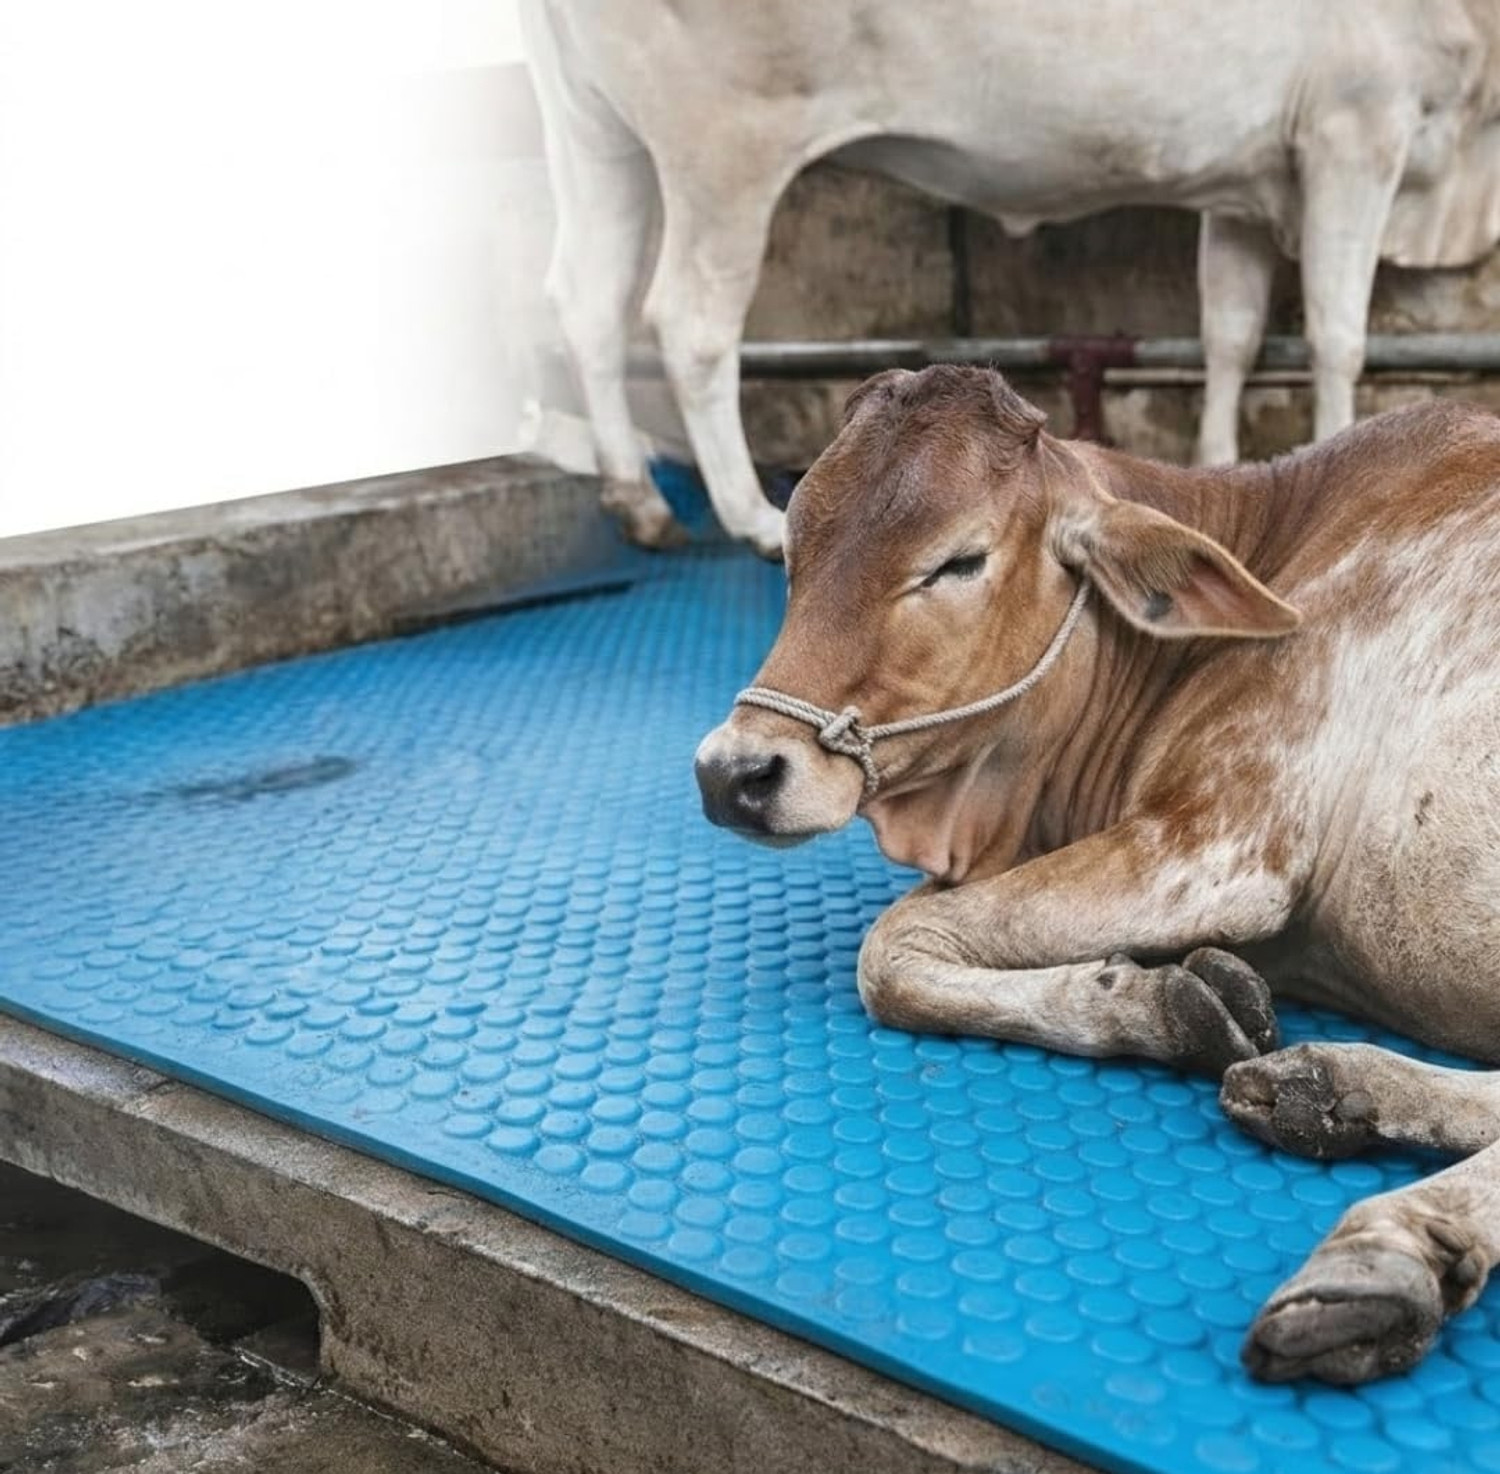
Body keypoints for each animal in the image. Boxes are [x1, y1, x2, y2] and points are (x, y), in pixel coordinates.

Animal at [522, 0, 1500, 559]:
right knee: (688, 320)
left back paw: (638, 500)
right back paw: (750, 517)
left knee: (586, 300)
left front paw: (1225, 463)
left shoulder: (1247, 179)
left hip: (592, 129)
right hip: (725, 144)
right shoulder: (1357, 125)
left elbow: (1231, 329)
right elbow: (1337, 334)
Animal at [694, 363, 1500, 1384]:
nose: (734, 773)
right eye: (793, 545)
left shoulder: (1223, 847)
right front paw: (1166, 999)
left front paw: (1156, 1004)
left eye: (960, 562)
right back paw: (1329, 1091)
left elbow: (890, 949)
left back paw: (1384, 1260)